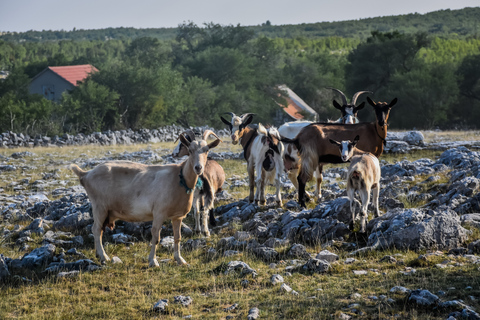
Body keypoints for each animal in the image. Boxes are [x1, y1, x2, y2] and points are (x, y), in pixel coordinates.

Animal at [71, 129, 221, 264]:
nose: (198, 168)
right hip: (99, 206)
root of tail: (85, 174)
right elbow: (155, 236)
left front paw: (180, 259)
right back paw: (104, 257)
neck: (179, 178)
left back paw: (99, 254)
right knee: (96, 230)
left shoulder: (178, 216)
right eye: (189, 150)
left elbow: (177, 237)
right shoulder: (159, 213)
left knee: (100, 230)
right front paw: (153, 261)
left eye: (207, 150)